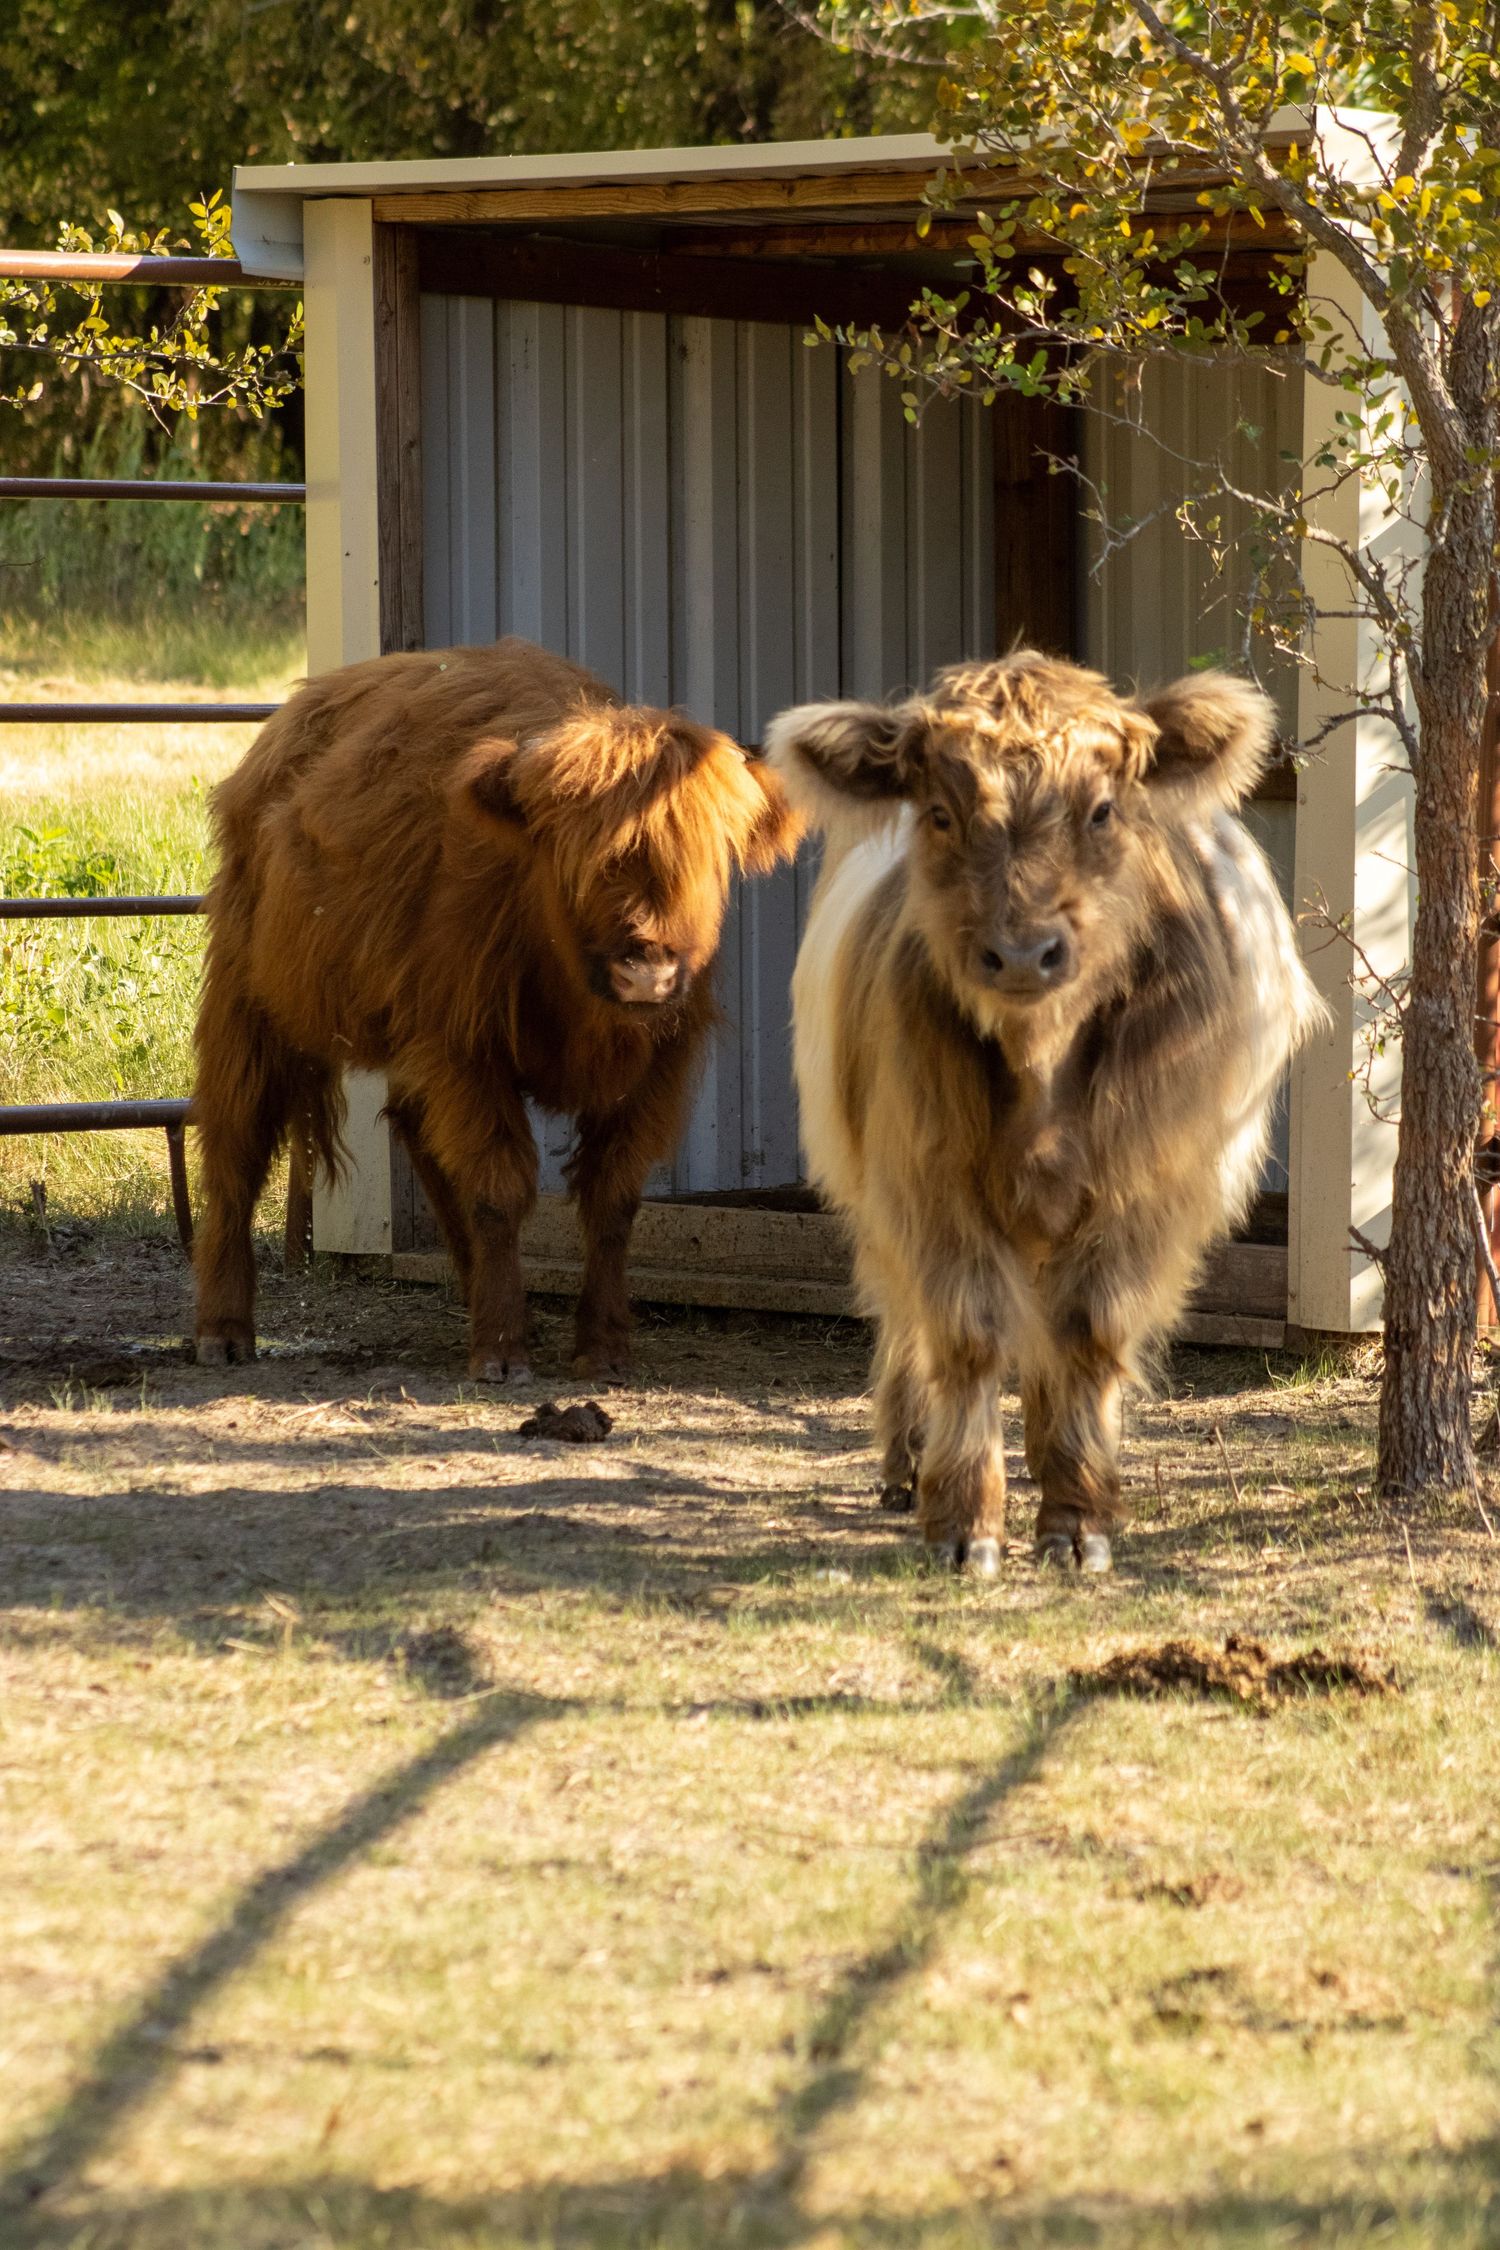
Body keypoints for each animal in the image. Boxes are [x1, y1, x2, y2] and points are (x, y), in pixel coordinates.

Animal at [191, 638, 798, 1381]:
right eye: (576, 856)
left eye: (709, 858)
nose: (646, 970)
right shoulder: (466, 1047)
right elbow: (498, 1188)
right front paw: (503, 1350)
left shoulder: (656, 1068)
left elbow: (613, 1199)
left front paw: (601, 1346)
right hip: (248, 999)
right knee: (235, 1147)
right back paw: (223, 1330)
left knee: (413, 1128)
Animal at [765, 653, 1328, 1575]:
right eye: (941, 812)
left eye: (1102, 810)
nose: (1024, 953)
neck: (1042, 1076)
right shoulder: (923, 1174)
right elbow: (967, 1335)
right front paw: (964, 1524)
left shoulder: (1145, 1190)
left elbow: (1089, 1334)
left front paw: (1077, 1518)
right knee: (905, 1315)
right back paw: (905, 1460)